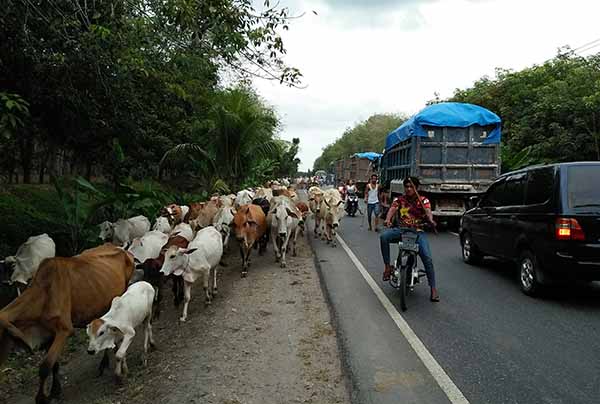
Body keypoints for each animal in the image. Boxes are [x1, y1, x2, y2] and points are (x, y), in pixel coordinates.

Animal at [0, 243, 134, 404]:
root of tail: (120, 248)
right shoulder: (49, 332)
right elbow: (54, 365)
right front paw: (55, 390)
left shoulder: (64, 330)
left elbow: (45, 367)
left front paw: (41, 398)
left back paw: (105, 362)